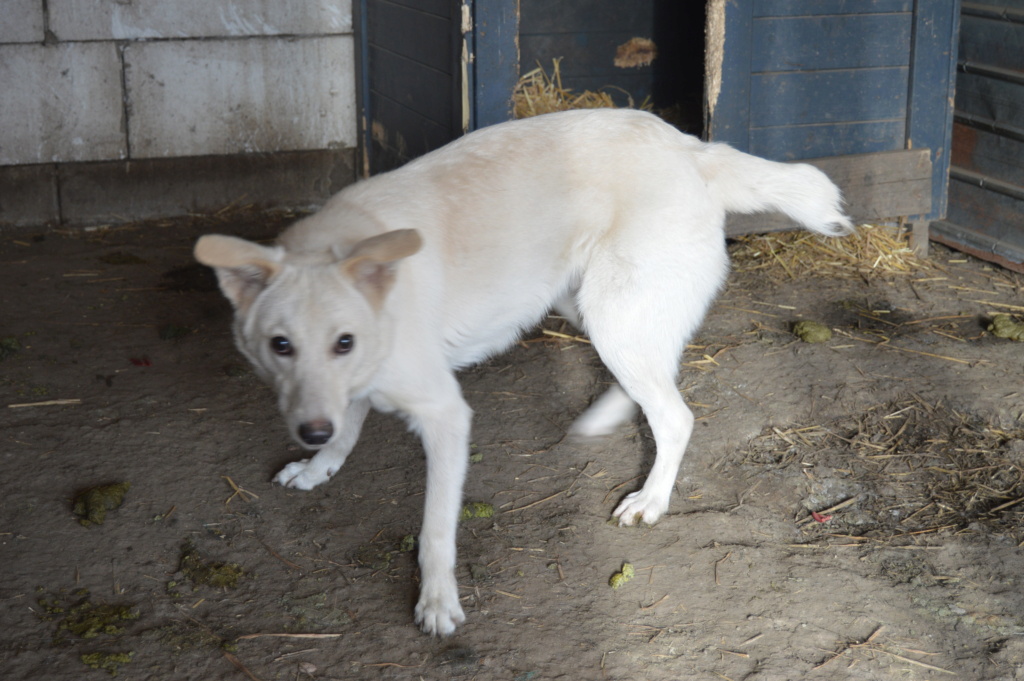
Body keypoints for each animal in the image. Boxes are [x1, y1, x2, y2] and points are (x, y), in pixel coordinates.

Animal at [195, 109, 851, 634]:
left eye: (343, 341)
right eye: (280, 346)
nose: (308, 433)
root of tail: (691, 146)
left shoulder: (445, 415)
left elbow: (435, 531)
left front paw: (437, 603)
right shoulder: (346, 392)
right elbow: (348, 429)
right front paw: (317, 469)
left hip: (613, 314)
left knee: (674, 414)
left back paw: (651, 498)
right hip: (583, 305)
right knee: (652, 379)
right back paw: (604, 418)